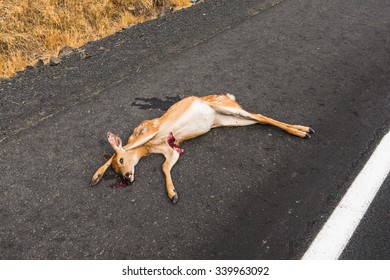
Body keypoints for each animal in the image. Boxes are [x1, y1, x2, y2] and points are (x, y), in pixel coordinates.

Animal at [89, 94, 314, 203]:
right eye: (117, 172)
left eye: (121, 161)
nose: (127, 177)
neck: (150, 147)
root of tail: (228, 96)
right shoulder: (171, 150)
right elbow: (164, 167)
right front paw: (173, 193)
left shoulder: (151, 130)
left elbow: (126, 146)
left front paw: (95, 176)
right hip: (230, 120)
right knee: (261, 119)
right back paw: (304, 130)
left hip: (228, 109)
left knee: (259, 115)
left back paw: (303, 131)